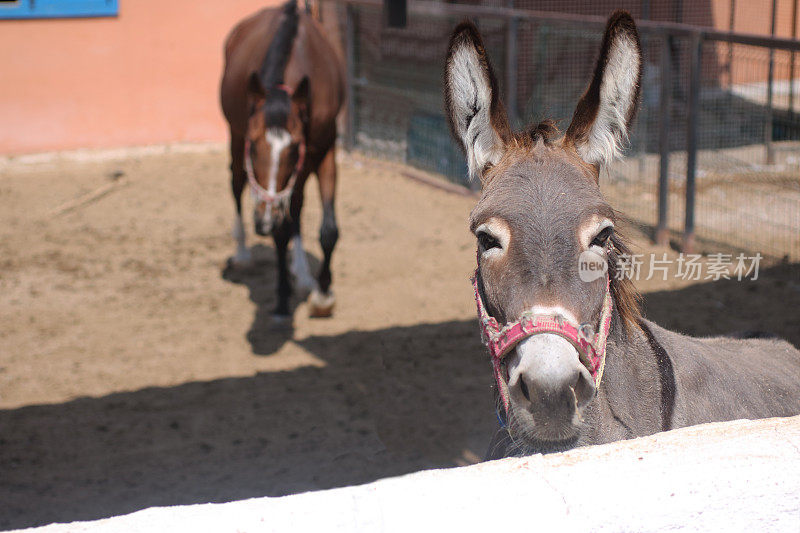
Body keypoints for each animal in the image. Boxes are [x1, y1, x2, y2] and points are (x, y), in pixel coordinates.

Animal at [220, 1, 342, 320]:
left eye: (294, 146)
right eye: (254, 147)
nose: (262, 221)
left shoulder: (324, 149)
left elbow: (328, 230)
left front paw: (323, 294)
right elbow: (280, 232)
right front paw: (282, 300)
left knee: (295, 206)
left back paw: (302, 274)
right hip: (234, 134)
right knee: (236, 183)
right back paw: (243, 253)